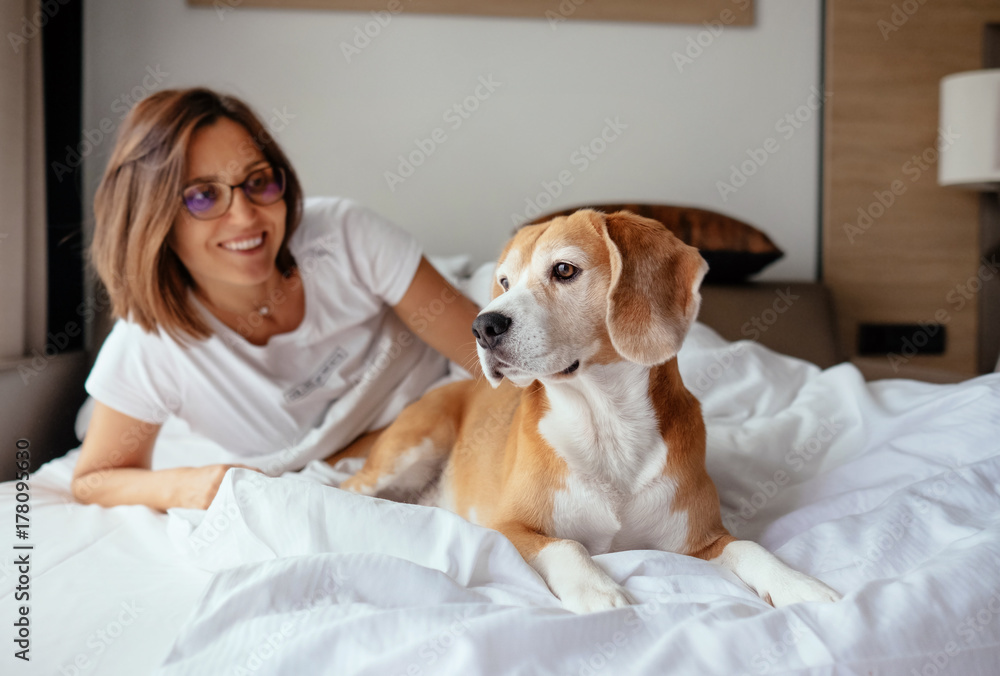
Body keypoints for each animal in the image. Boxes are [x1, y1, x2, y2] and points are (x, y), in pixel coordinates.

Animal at [340, 210, 840, 612]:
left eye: (564, 270)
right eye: (504, 282)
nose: (482, 326)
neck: (605, 422)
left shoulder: (704, 539)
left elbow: (751, 547)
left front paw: (799, 584)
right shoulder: (507, 527)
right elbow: (566, 546)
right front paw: (598, 590)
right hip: (408, 451)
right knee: (347, 488)